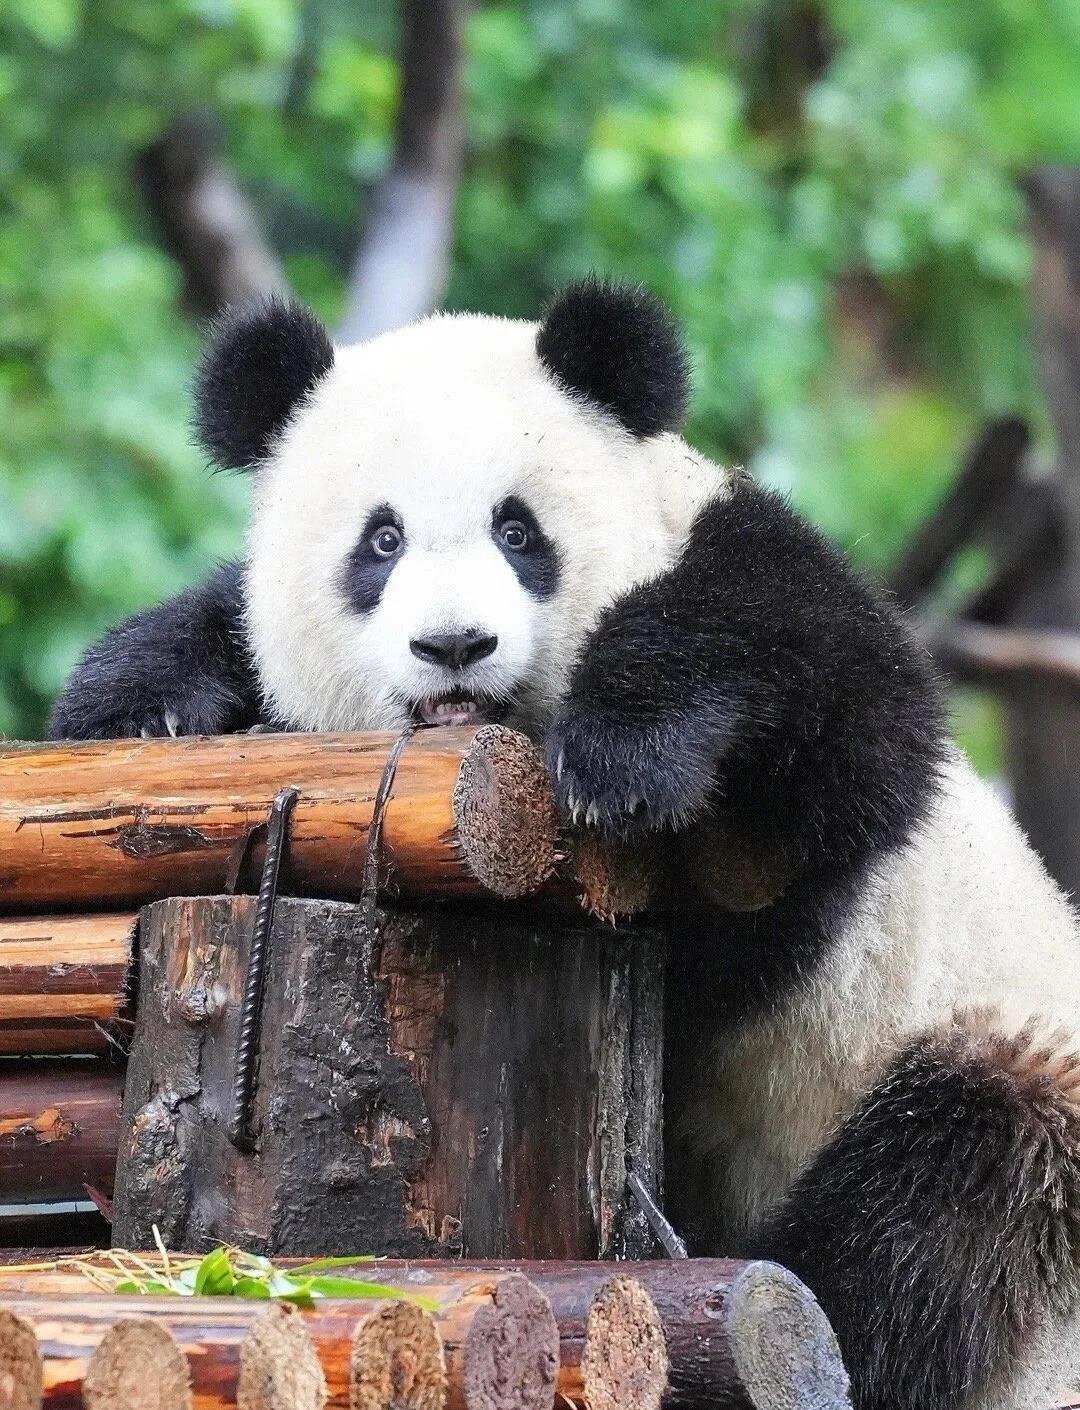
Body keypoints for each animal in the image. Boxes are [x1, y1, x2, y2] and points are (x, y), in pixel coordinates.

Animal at [52, 280, 1080, 1410]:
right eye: (381, 542)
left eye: (518, 530)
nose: (455, 645)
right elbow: (201, 643)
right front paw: (146, 704)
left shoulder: (761, 606)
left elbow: (843, 714)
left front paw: (622, 753)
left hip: (1002, 1068)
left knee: (951, 1201)